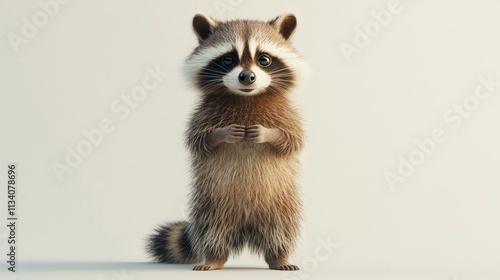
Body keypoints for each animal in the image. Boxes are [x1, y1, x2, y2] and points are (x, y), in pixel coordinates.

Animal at [146, 13, 306, 272]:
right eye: (228, 59)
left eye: (263, 59)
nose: (247, 77)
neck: (245, 96)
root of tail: (246, 225)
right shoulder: (202, 113)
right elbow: (197, 140)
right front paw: (223, 133)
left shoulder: (287, 113)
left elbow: (293, 139)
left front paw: (267, 133)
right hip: (211, 205)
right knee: (212, 231)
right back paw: (214, 258)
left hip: (282, 205)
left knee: (281, 231)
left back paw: (279, 257)